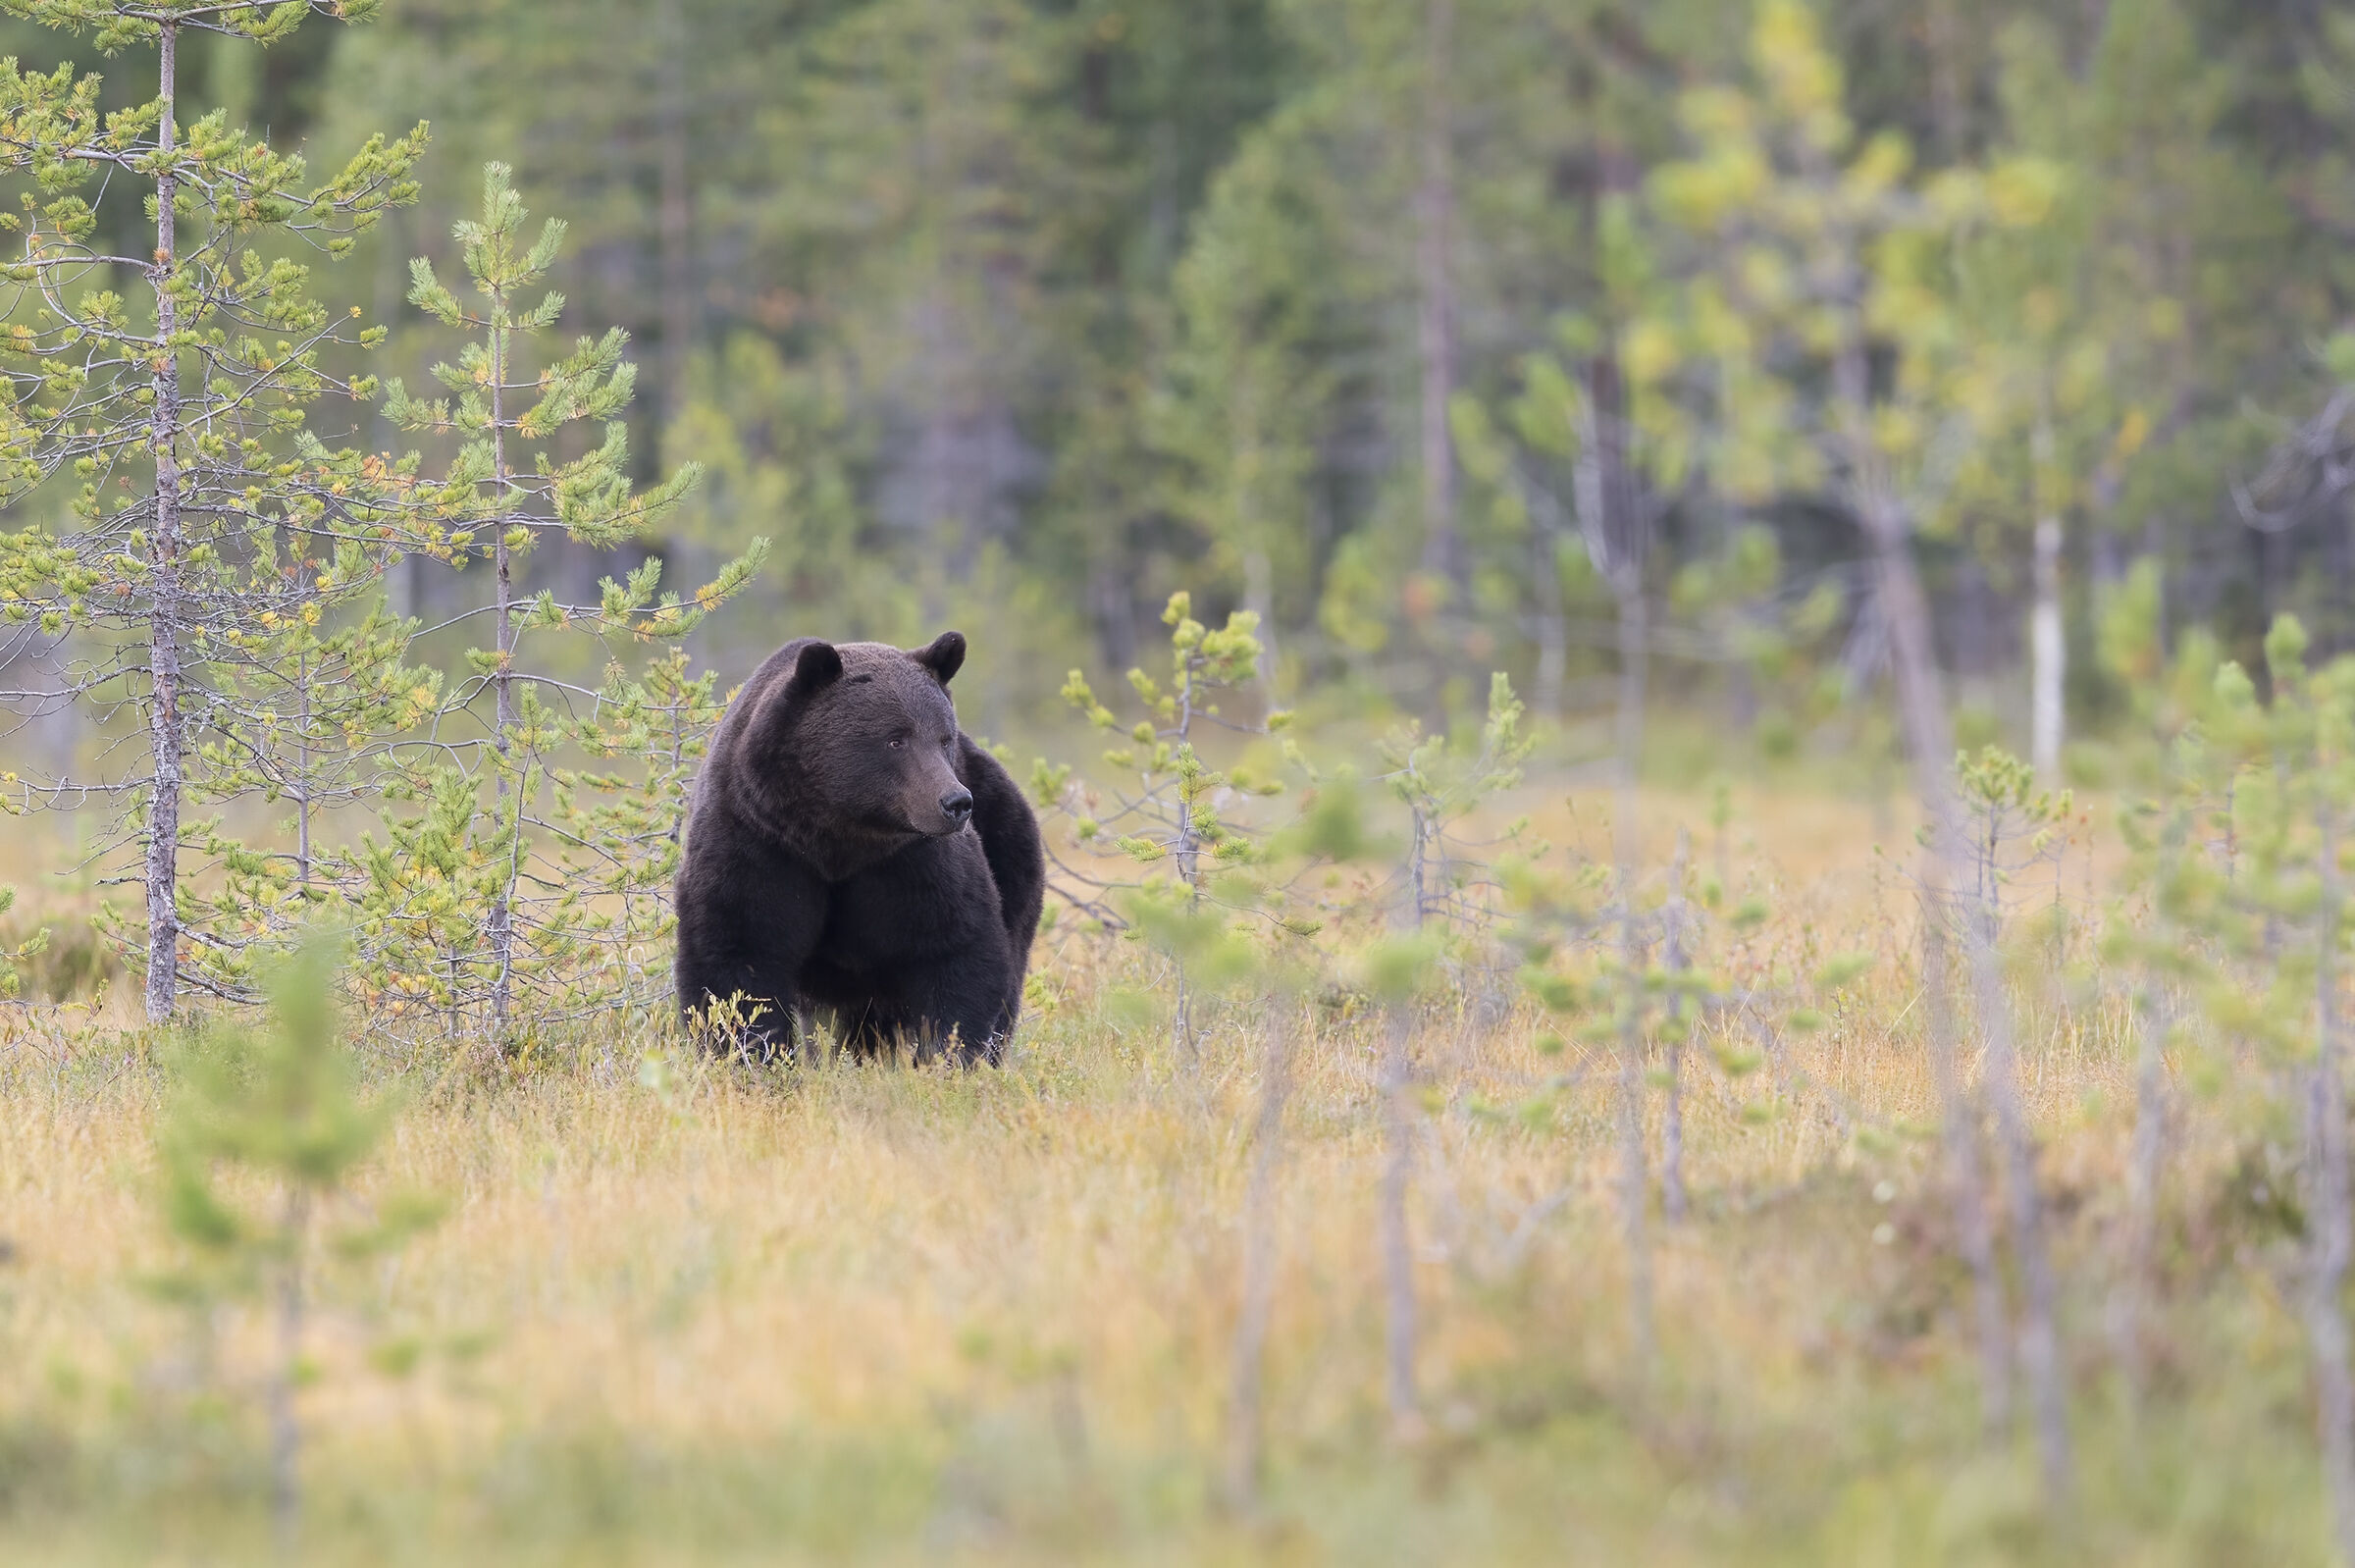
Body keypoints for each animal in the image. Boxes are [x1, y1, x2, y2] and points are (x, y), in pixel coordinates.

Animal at [673, 630, 1046, 1064]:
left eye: (943, 738)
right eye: (896, 738)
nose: (956, 802)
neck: (835, 835)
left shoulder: (913, 862)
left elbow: (957, 944)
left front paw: (947, 1056)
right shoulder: (756, 840)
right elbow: (737, 954)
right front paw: (753, 1057)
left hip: (1010, 845)